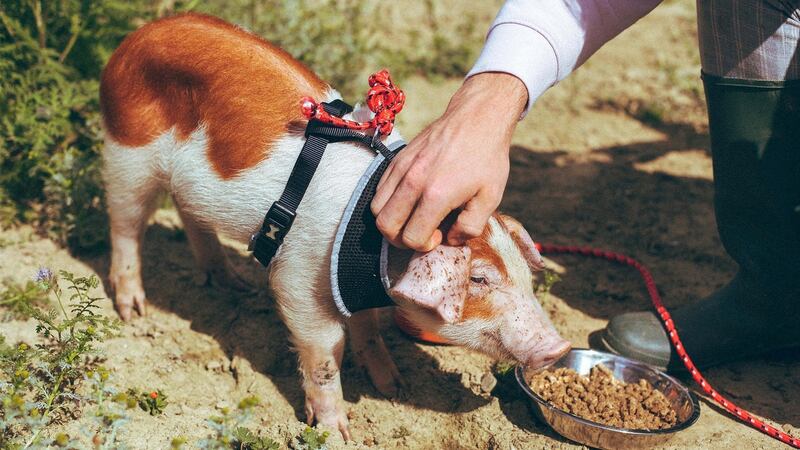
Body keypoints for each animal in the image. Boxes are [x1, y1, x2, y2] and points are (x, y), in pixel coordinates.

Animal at [99, 13, 570, 439]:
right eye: (478, 279)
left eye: (523, 272)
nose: (561, 347)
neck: (373, 249)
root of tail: (134, 37)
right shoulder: (298, 278)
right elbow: (327, 351)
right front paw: (337, 431)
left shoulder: (351, 283)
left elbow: (369, 330)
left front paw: (395, 385)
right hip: (126, 154)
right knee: (124, 226)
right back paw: (133, 311)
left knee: (186, 212)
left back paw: (234, 285)